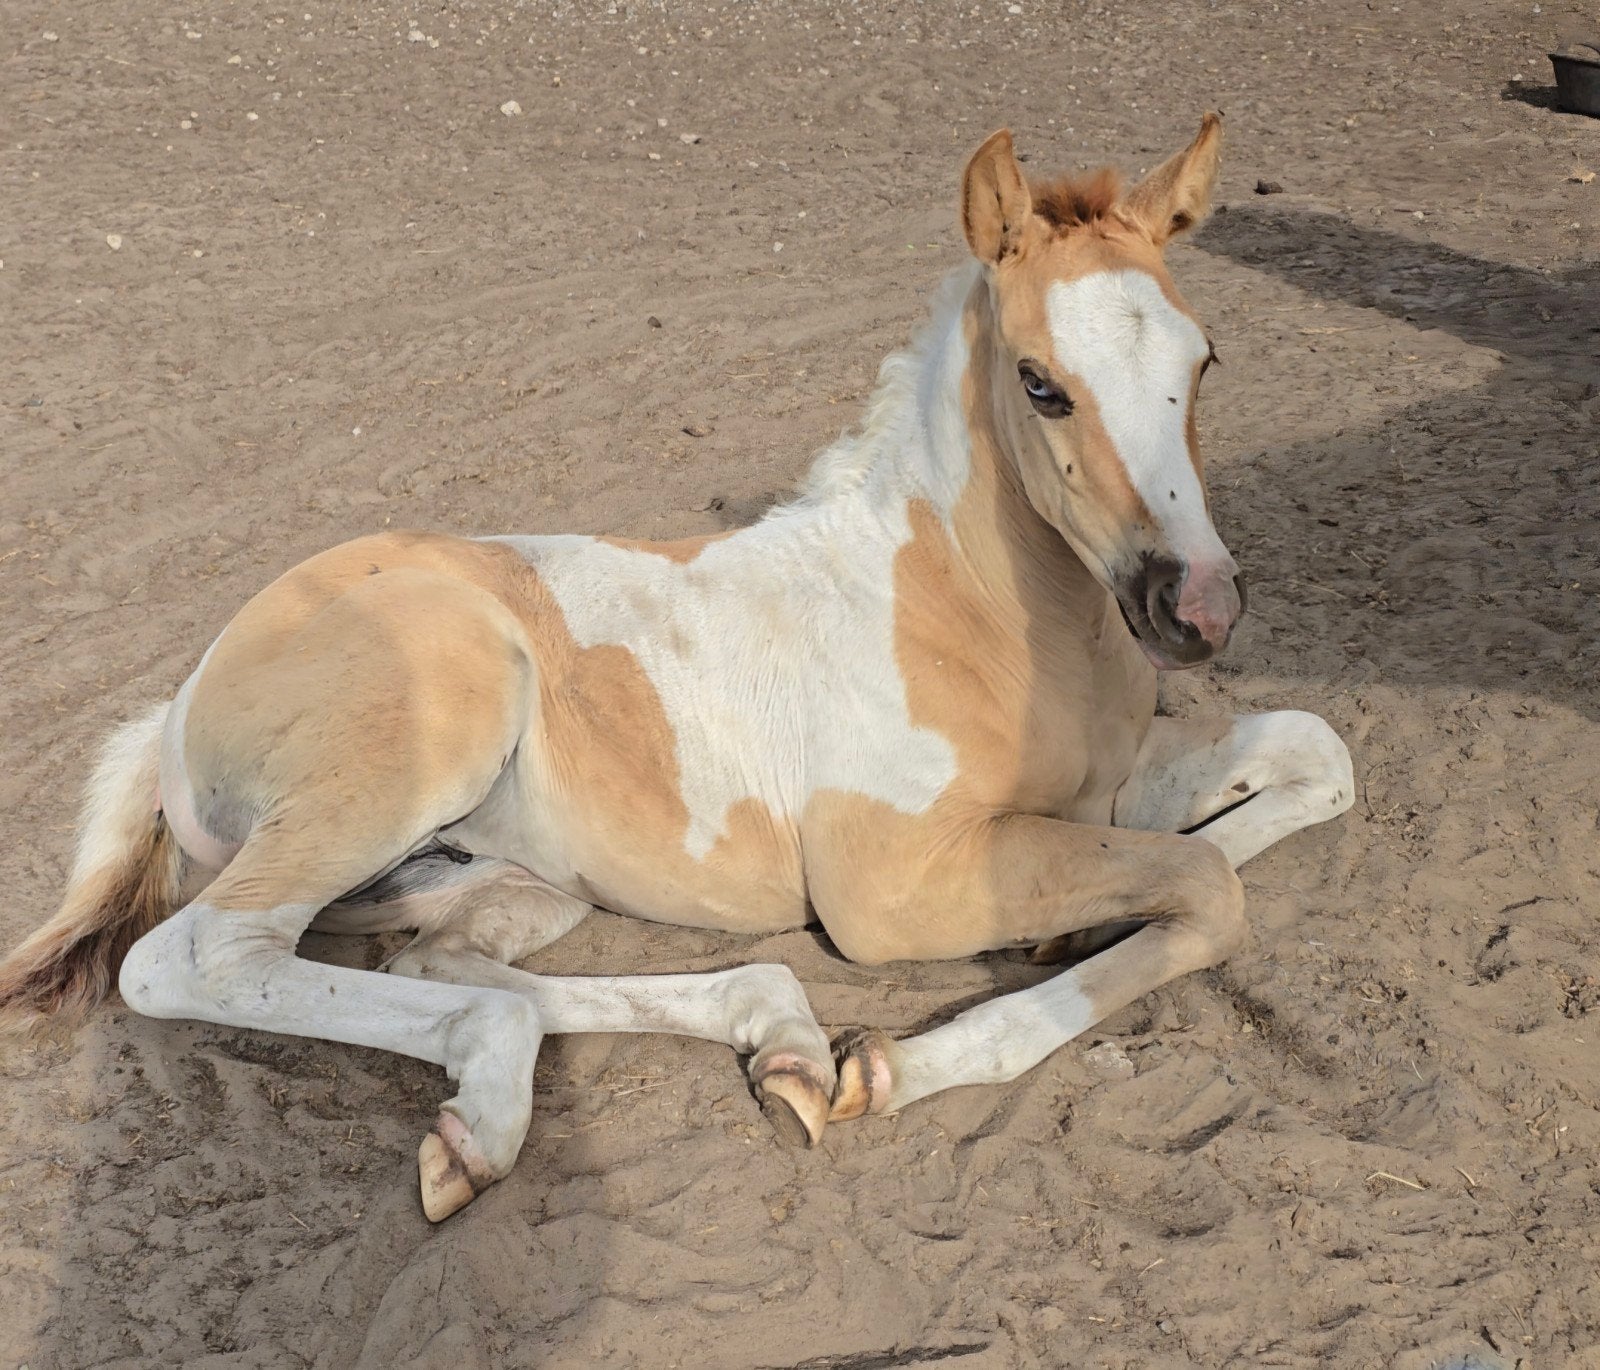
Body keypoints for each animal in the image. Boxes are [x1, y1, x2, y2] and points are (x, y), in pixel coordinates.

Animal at [0, 113, 1353, 1221]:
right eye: (1041, 384)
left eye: (1203, 358)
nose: (1196, 608)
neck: (970, 610)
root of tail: (179, 700)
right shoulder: (892, 886)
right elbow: (1203, 886)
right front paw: (902, 1061)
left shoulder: (1096, 792)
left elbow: (1308, 760)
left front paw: (1065, 930)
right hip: (420, 747)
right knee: (201, 957)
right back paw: (527, 1104)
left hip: (497, 878)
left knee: (436, 960)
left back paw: (771, 1041)